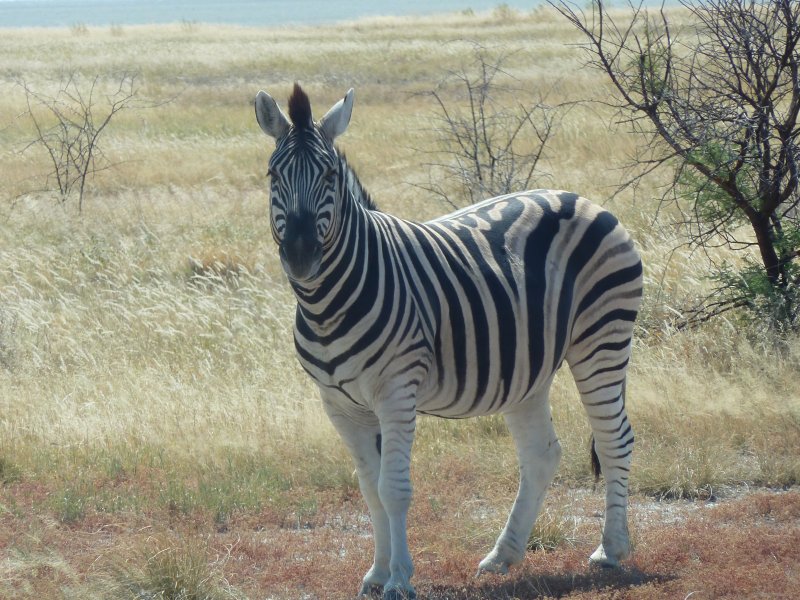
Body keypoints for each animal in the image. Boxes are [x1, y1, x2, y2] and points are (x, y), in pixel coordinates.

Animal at [256, 84, 644, 600]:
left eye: (330, 174)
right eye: (273, 174)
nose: (300, 255)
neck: (327, 305)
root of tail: (581, 198)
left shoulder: (396, 391)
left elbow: (393, 488)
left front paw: (399, 579)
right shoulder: (339, 404)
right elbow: (369, 487)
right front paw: (376, 573)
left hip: (602, 337)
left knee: (615, 439)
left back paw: (610, 549)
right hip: (528, 366)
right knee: (542, 454)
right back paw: (503, 556)